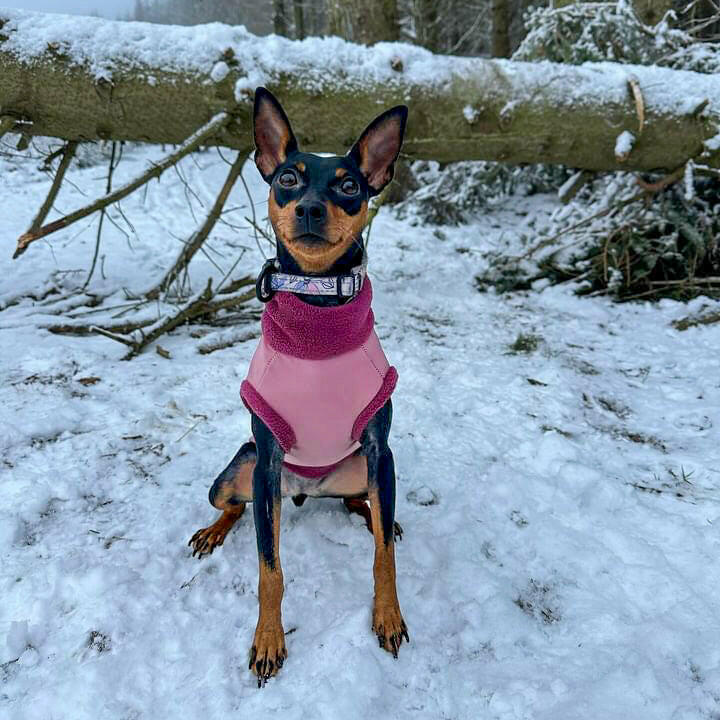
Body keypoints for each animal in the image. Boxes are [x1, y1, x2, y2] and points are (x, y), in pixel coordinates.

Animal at [188, 90, 408, 688]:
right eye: (288, 178)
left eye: (350, 186)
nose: (310, 207)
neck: (317, 300)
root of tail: (306, 490)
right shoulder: (265, 459)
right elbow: (270, 569)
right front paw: (267, 641)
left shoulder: (380, 449)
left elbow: (383, 557)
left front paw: (387, 616)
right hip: (239, 474)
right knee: (237, 508)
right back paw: (213, 531)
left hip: (361, 466)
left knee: (367, 503)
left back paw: (376, 515)